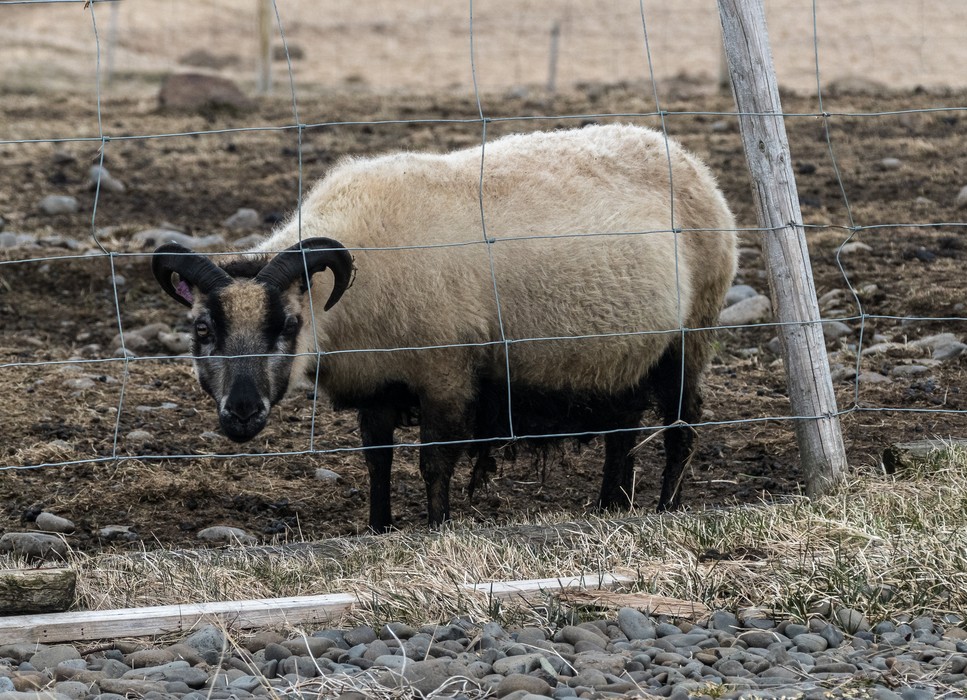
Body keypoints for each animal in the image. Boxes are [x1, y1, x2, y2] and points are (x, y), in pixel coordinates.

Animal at [155, 123, 736, 532]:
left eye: (290, 323)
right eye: (202, 329)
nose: (242, 412)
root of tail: (685, 157)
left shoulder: (446, 373)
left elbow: (434, 464)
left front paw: (436, 528)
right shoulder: (379, 381)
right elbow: (378, 461)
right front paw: (380, 527)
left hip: (692, 335)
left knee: (682, 428)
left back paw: (666, 508)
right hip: (623, 355)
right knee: (623, 432)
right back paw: (610, 507)